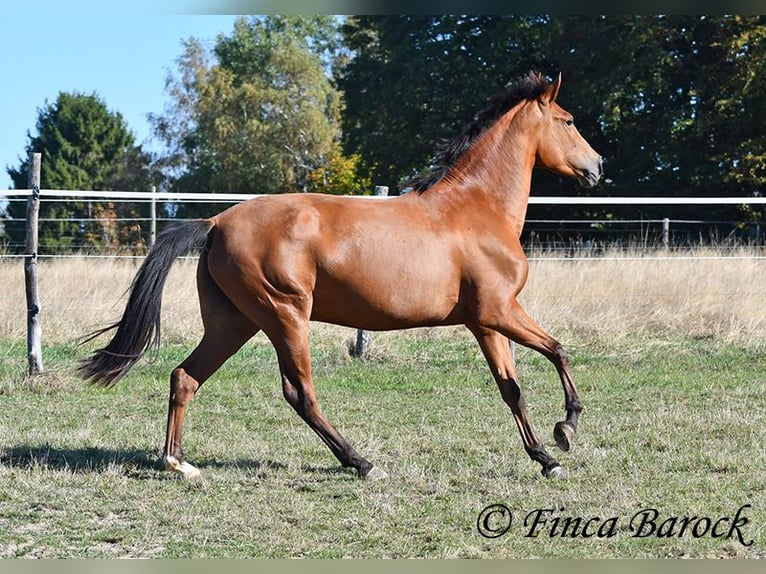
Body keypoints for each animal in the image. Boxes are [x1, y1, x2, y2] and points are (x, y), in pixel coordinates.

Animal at [79, 71, 602, 481]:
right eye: (569, 120)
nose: (597, 166)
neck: (476, 208)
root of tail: (216, 222)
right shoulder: (500, 310)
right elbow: (559, 351)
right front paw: (567, 429)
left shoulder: (485, 321)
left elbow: (511, 388)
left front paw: (545, 457)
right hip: (285, 316)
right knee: (300, 393)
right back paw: (361, 463)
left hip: (234, 322)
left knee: (185, 377)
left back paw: (178, 463)